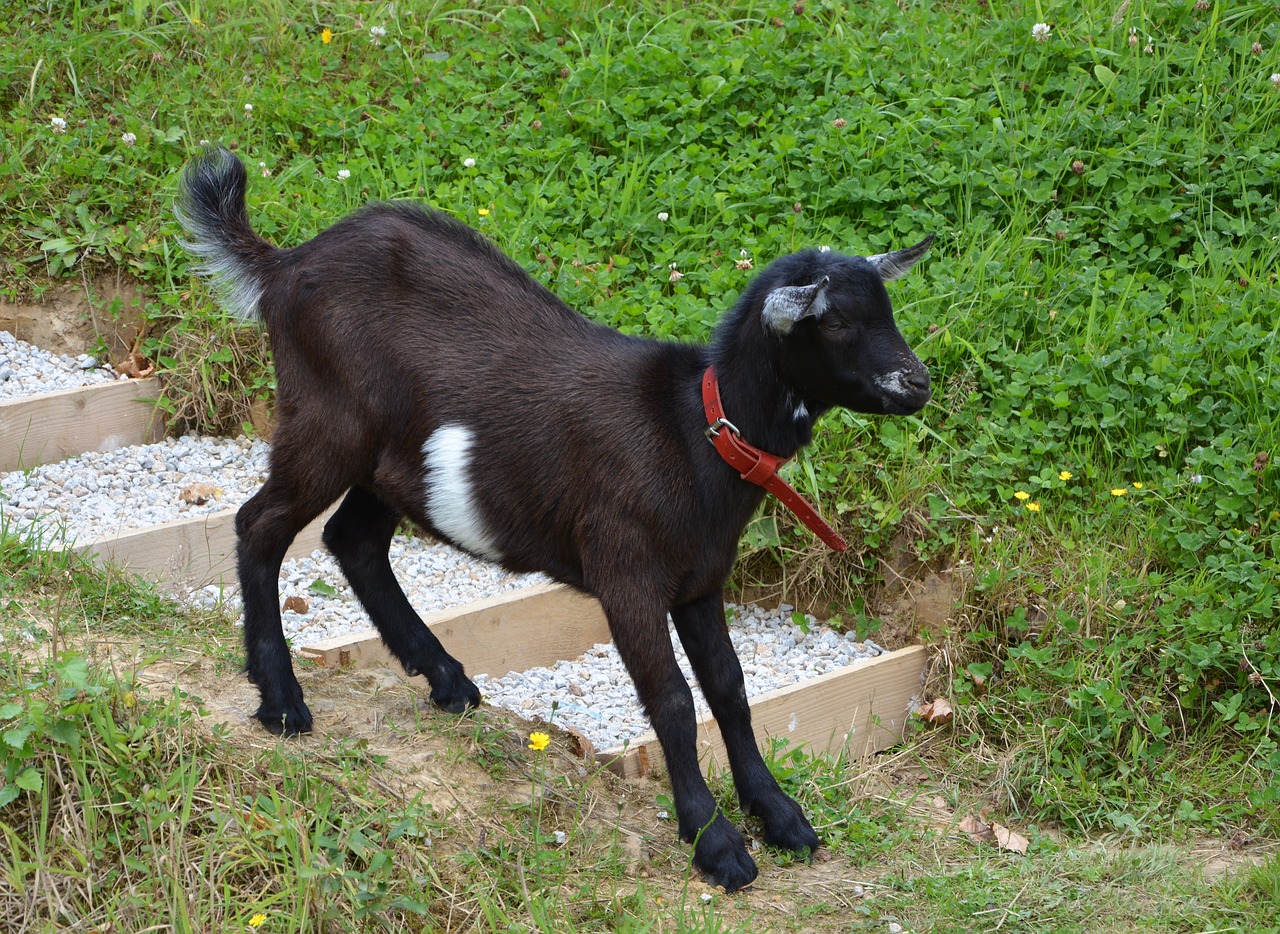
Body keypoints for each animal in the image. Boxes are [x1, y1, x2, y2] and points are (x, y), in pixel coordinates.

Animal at [177, 147, 931, 885]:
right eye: (835, 321)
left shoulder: (700, 580)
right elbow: (672, 699)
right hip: (327, 425)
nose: (917, 384)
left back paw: (447, 680)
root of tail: (283, 266)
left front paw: (780, 817)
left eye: (888, 309)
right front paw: (715, 844)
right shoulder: (626, 572)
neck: (698, 429)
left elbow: (729, 687)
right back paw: (281, 701)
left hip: (387, 461)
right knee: (260, 525)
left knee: (351, 539)